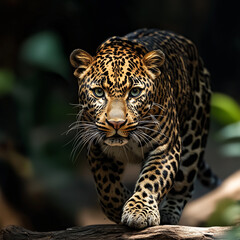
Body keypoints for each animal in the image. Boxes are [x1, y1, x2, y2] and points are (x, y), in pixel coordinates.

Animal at [68, 28, 218, 229]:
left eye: (135, 92)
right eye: (99, 92)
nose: (116, 123)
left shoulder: (165, 146)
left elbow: (152, 179)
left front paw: (139, 211)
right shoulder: (97, 148)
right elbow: (106, 186)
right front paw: (119, 205)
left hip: (194, 137)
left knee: (184, 185)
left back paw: (169, 214)